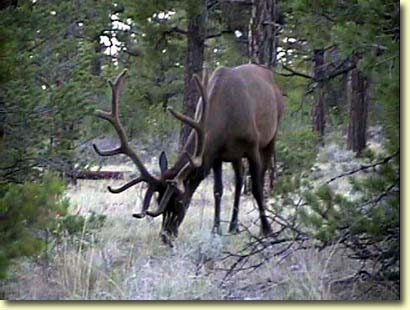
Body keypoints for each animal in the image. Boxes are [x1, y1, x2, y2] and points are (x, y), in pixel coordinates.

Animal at [93, 65, 286, 245]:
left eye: (179, 201)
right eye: (158, 199)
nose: (165, 235)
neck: (225, 121)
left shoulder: (252, 146)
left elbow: (257, 188)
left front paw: (267, 230)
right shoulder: (215, 155)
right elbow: (218, 191)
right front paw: (216, 230)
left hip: (271, 136)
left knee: (260, 176)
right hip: (235, 156)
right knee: (238, 181)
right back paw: (233, 226)